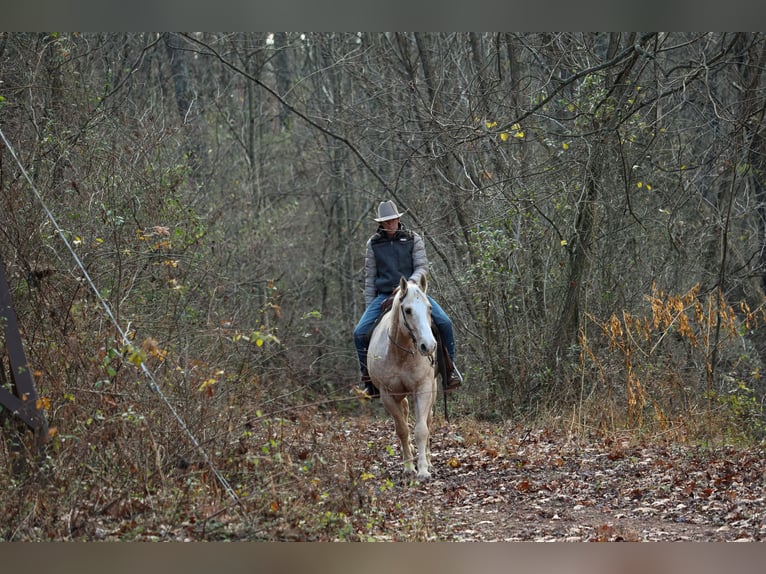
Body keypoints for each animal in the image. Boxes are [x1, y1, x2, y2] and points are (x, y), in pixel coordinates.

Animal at [367, 275, 438, 481]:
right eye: (407, 310)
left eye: (429, 308)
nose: (429, 346)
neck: (401, 353)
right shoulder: (387, 395)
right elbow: (402, 429)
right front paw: (408, 467)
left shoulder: (423, 389)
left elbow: (421, 429)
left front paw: (423, 470)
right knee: (405, 414)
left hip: (433, 389)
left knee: (428, 419)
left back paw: (428, 459)